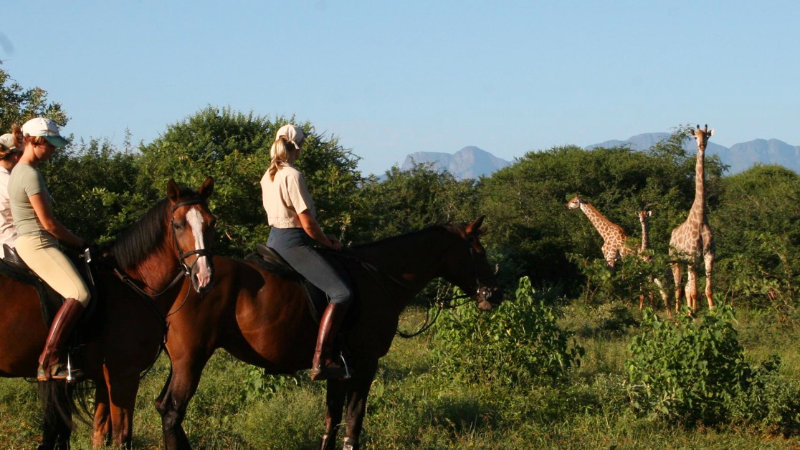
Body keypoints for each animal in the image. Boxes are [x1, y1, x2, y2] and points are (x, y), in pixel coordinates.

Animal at [0, 178, 216, 448]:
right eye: (177, 225)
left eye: (212, 223)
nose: (203, 277)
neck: (134, 285)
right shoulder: (124, 376)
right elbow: (122, 437)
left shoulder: (104, 380)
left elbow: (99, 433)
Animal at [154, 216, 504, 448]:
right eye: (479, 251)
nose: (494, 293)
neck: (380, 276)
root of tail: (186, 277)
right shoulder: (365, 364)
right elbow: (353, 421)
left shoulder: (340, 369)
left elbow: (331, 420)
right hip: (191, 360)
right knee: (172, 411)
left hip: (179, 361)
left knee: (163, 407)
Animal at [664, 123, 716, 312]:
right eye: (695, 137)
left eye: (707, 136)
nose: (702, 146)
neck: (700, 218)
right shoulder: (692, 258)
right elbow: (694, 291)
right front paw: (693, 315)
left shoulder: (709, 255)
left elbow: (707, 289)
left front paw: (713, 311)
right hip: (676, 261)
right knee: (678, 288)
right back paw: (679, 314)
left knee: (686, 287)